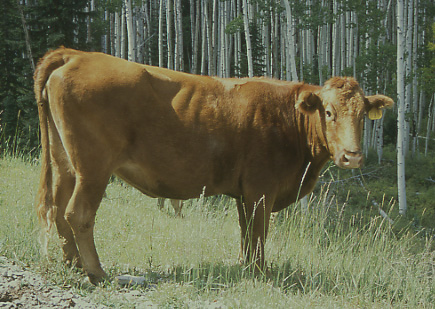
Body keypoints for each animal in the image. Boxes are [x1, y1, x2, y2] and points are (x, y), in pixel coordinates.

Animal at [34, 47, 396, 282]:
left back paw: (73, 264)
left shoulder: (245, 193)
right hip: (93, 166)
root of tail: (76, 54)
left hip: (65, 161)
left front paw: (246, 267)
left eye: (363, 116)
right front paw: (260, 272)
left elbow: (247, 232)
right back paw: (96, 272)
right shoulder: (261, 189)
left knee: (57, 208)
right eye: (329, 112)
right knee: (78, 213)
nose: (352, 155)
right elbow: (259, 232)